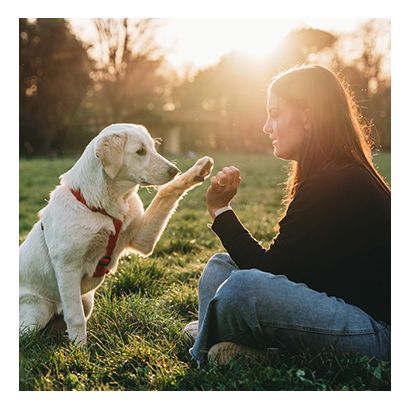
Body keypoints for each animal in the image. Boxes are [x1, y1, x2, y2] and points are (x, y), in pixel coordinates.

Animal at [19, 122, 213, 346]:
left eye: (153, 148)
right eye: (140, 151)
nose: (174, 170)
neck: (104, 206)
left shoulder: (142, 239)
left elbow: (166, 192)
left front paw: (196, 172)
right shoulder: (68, 267)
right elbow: (75, 317)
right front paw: (80, 351)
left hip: (85, 302)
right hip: (37, 310)